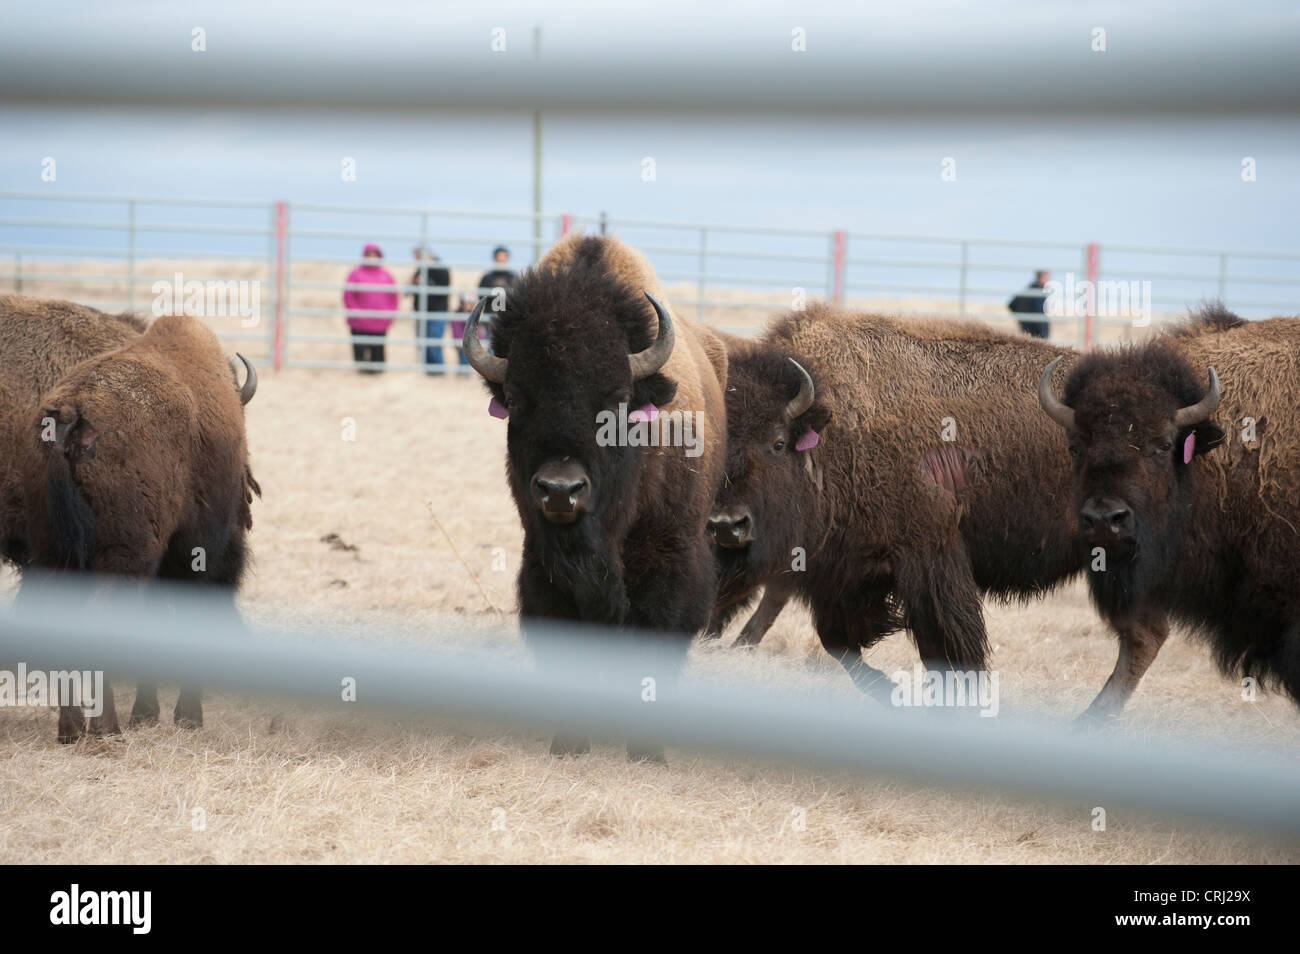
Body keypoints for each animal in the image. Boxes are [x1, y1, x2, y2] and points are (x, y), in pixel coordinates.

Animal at [19, 315, 258, 748]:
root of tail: (72, 414)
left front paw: (148, 714)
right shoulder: (195, 554)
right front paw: (187, 717)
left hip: (52, 550)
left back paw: (71, 730)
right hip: (124, 555)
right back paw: (105, 728)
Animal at [465, 233, 733, 764]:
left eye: (617, 399)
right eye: (518, 399)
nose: (560, 489)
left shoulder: (670, 559)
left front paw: (647, 751)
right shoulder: (541, 565)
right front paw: (569, 744)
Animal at [707, 306, 1081, 712]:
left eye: (777, 443)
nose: (727, 526)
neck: (835, 431)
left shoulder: (928, 561)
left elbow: (949, 649)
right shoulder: (838, 575)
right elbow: (837, 642)